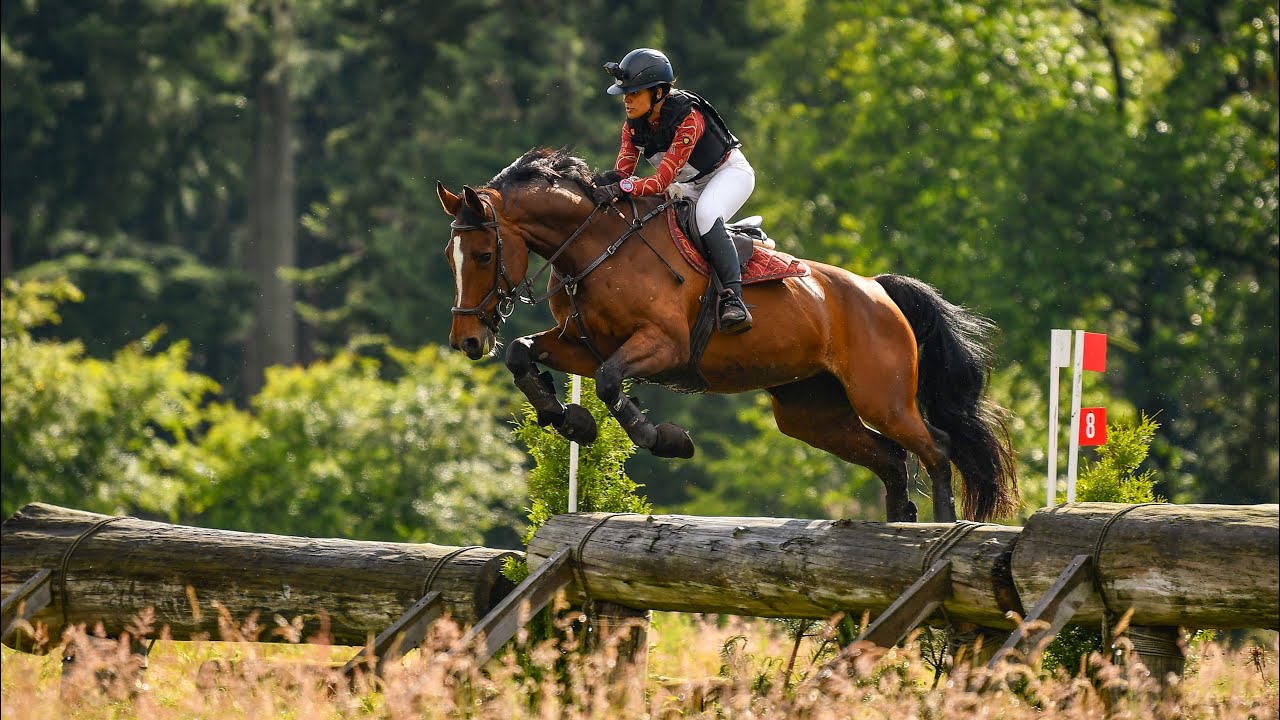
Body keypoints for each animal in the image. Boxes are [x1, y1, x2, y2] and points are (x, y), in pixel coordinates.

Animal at [436, 148, 1018, 523]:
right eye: (451, 256)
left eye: (484, 255)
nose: (467, 341)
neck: (596, 247)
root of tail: (878, 290)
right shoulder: (582, 343)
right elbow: (522, 354)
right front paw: (570, 421)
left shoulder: (662, 346)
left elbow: (609, 382)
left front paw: (666, 439)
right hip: (811, 411)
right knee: (892, 458)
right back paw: (898, 522)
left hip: (882, 397)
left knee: (936, 447)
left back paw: (941, 525)